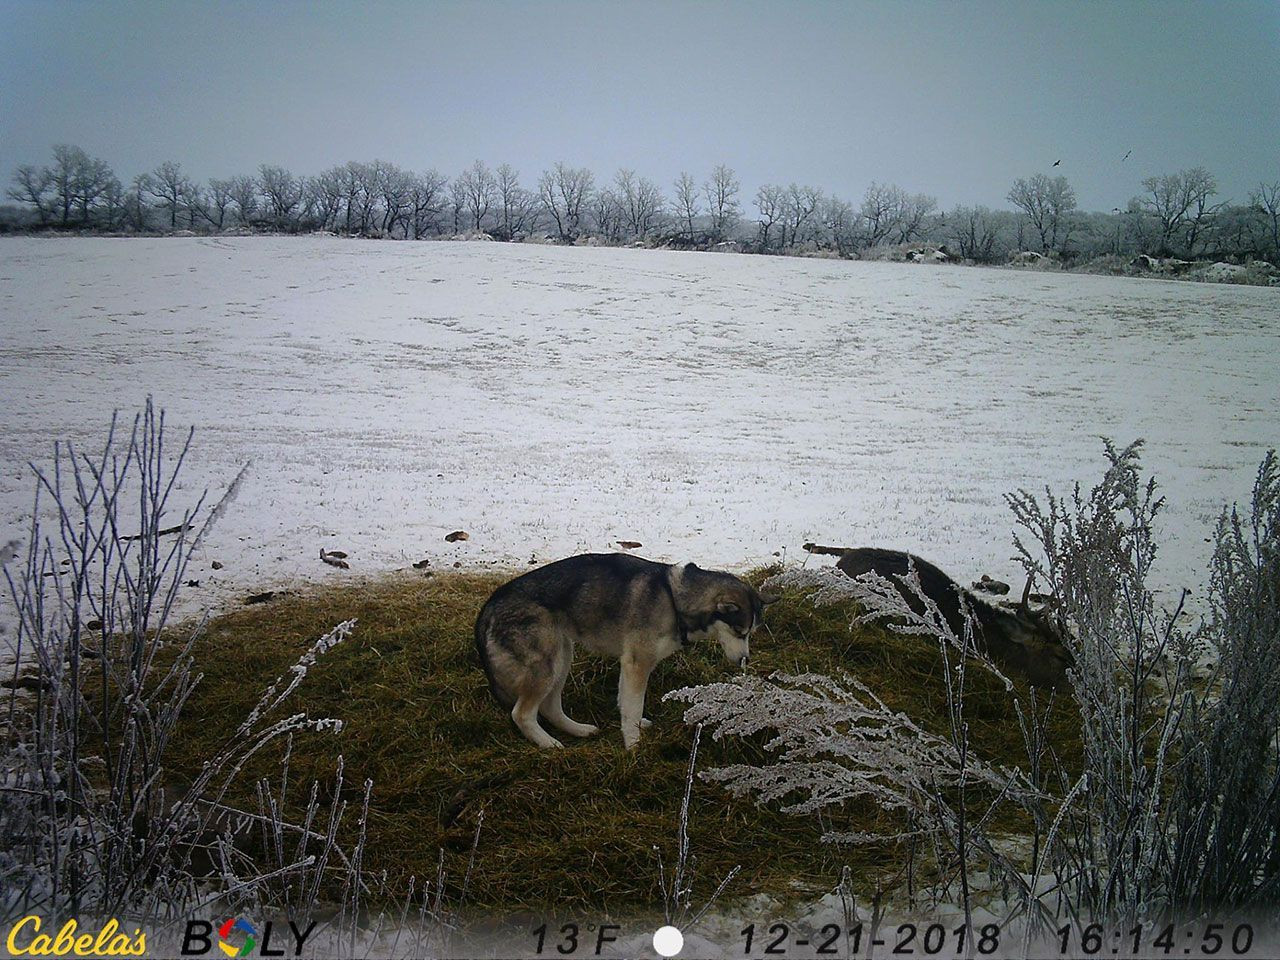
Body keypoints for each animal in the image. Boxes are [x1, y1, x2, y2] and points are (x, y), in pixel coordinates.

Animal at [473, 555, 762, 752]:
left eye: (750, 632)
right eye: (739, 631)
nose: (744, 660)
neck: (675, 601)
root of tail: (490, 603)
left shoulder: (629, 662)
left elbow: (625, 703)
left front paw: (632, 729)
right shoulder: (638, 663)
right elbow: (633, 706)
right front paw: (633, 745)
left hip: (562, 657)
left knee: (551, 707)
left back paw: (579, 730)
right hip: (545, 666)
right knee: (521, 714)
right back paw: (548, 743)